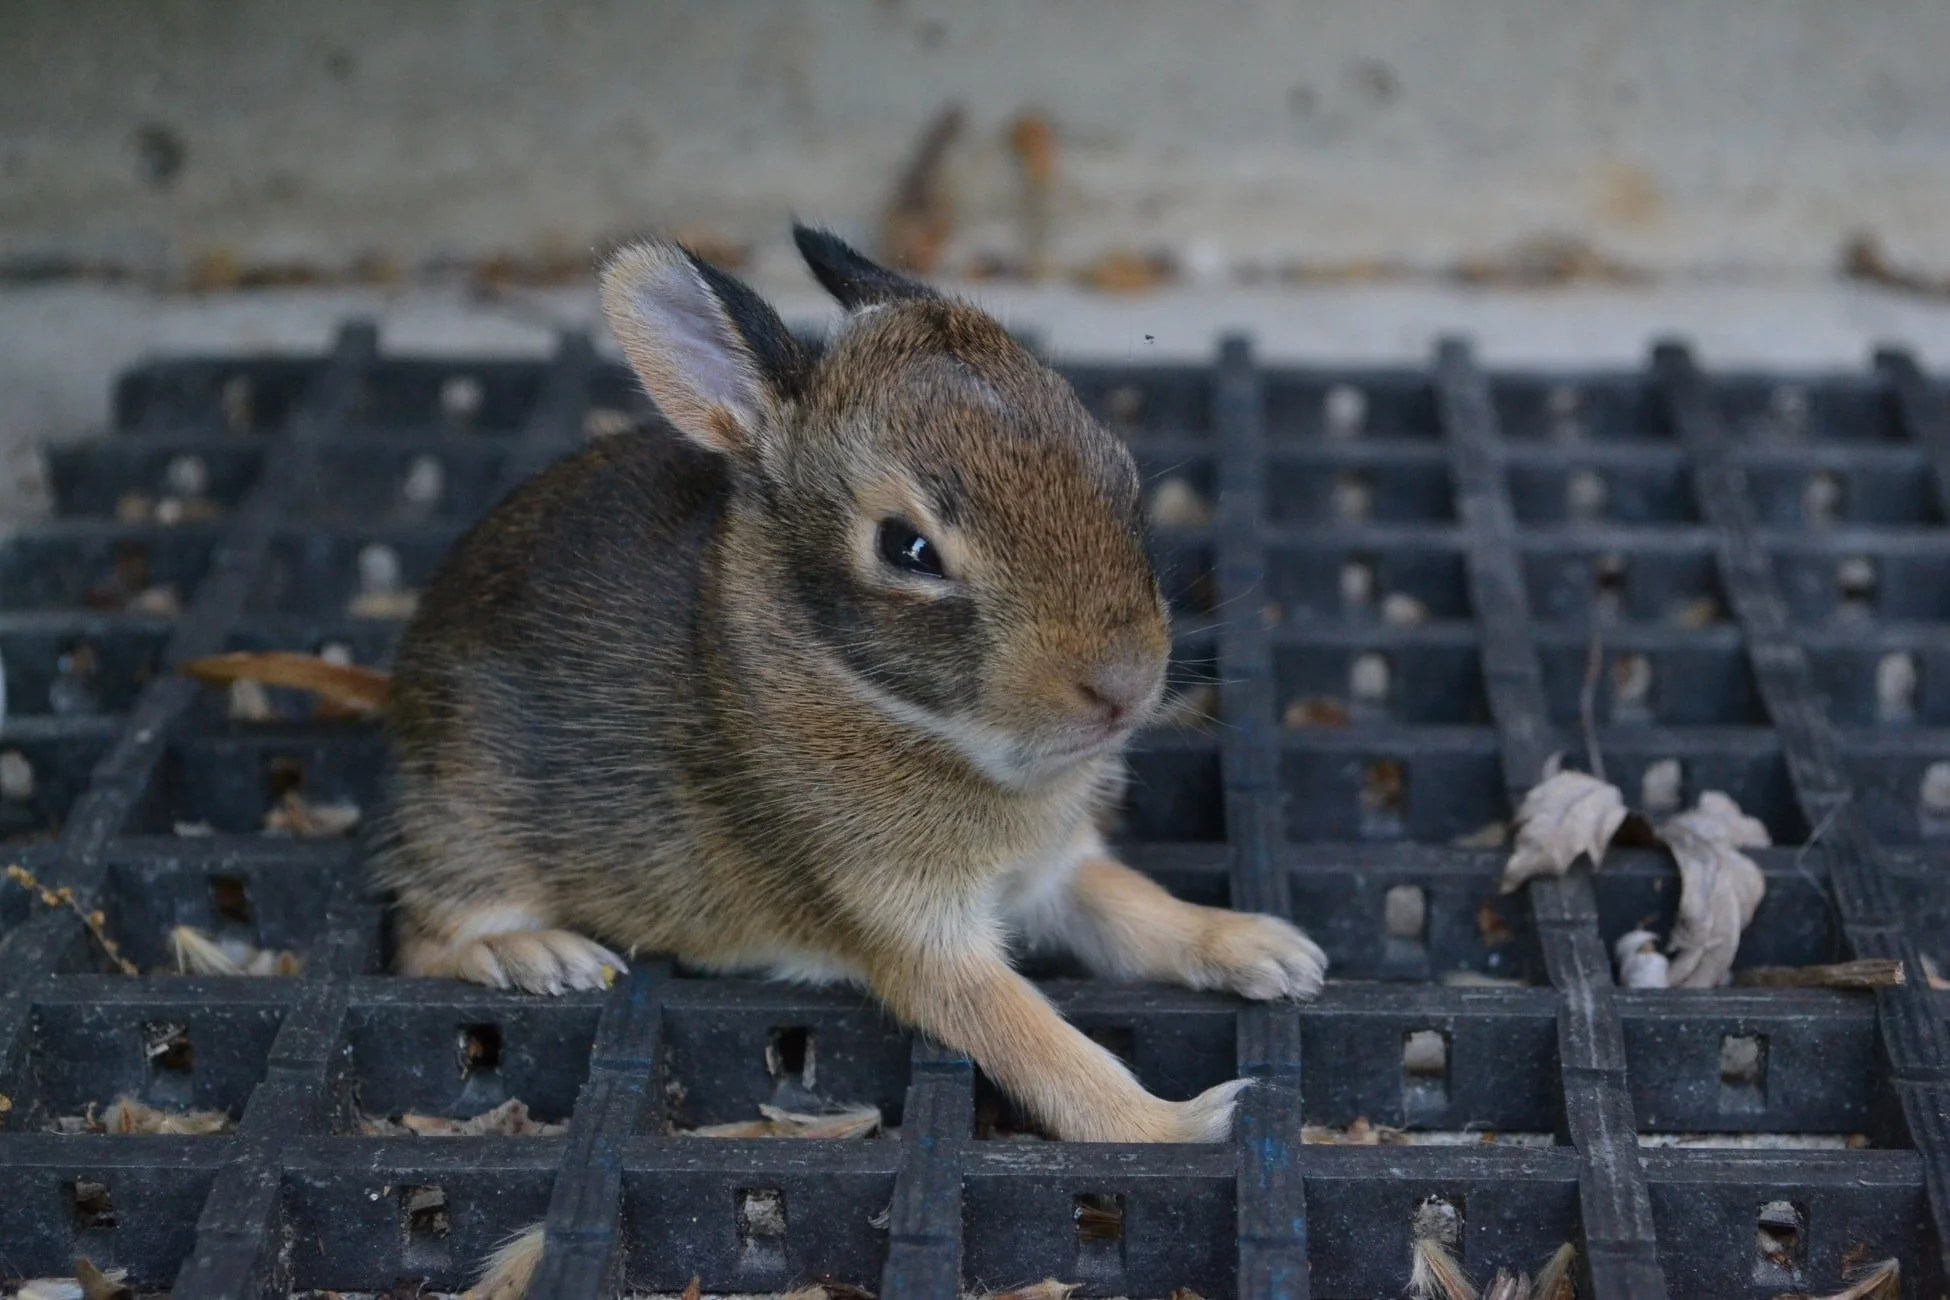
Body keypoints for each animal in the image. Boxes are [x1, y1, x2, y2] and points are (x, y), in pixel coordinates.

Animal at [375, 224, 1326, 1143]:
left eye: (1120, 473)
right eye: (908, 549)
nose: (1123, 686)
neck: (888, 705)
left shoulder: (1051, 873)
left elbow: (1134, 909)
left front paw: (1265, 950)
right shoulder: (906, 926)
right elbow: (1030, 1039)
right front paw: (1179, 1122)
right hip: (474, 821)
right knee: (421, 938)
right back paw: (536, 955)